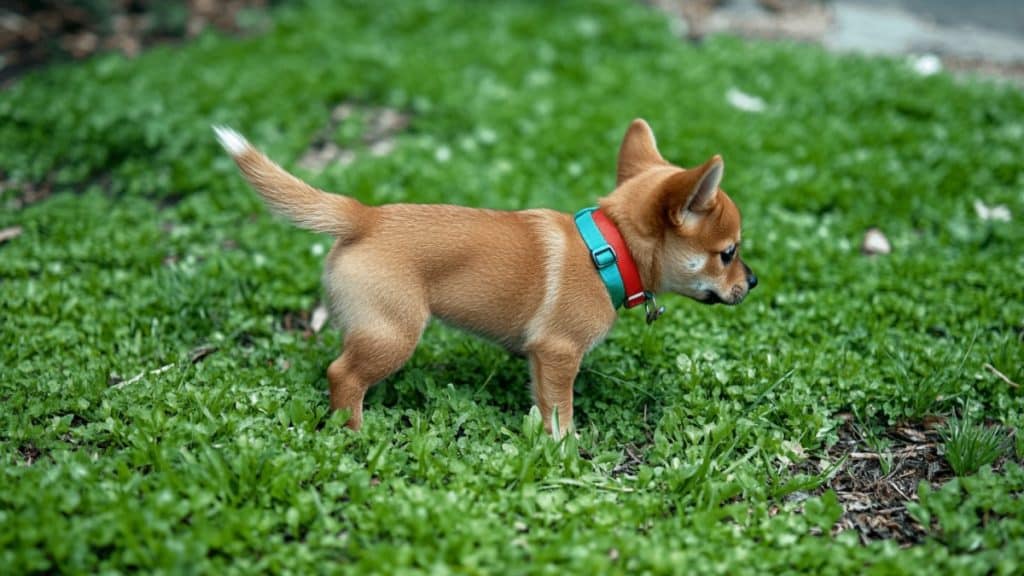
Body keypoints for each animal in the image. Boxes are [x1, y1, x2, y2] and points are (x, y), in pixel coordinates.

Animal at [214, 118, 753, 432]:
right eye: (728, 253)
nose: (753, 283)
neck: (608, 247)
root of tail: (363, 215)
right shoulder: (559, 355)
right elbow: (563, 413)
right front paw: (567, 455)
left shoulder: (539, 361)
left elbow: (542, 404)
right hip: (395, 334)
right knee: (342, 376)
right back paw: (356, 434)